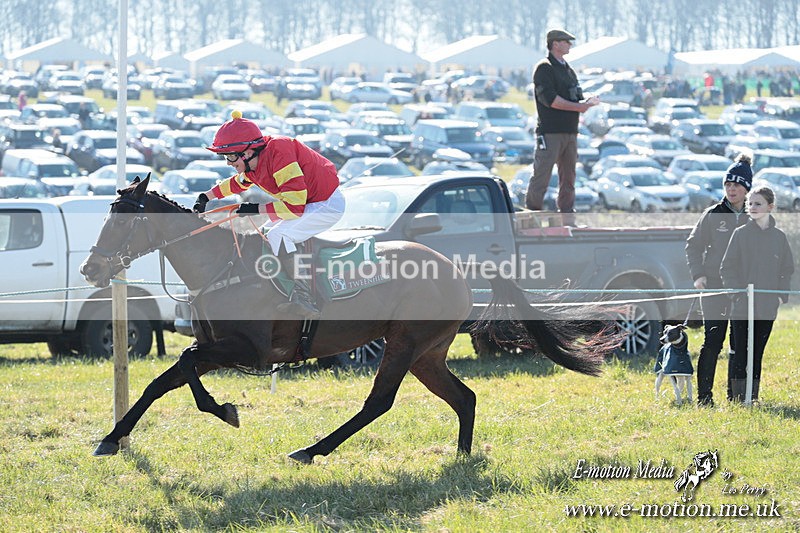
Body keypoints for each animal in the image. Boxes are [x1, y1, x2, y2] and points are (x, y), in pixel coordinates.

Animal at [81, 175, 622, 463]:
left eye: (124, 219)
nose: (90, 269)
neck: (223, 266)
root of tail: (456, 267)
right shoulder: (221, 347)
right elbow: (170, 377)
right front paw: (113, 436)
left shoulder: (248, 351)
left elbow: (184, 368)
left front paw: (221, 410)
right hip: (427, 353)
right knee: (464, 397)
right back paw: (462, 456)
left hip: (405, 344)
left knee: (379, 401)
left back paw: (312, 450)